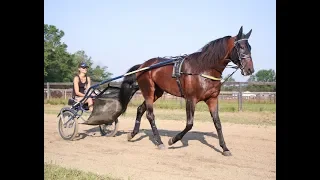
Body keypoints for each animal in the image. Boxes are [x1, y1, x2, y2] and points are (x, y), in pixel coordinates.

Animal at [119, 26, 254, 156]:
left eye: (250, 47)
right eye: (241, 47)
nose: (250, 69)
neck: (203, 69)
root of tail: (142, 66)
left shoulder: (212, 99)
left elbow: (217, 123)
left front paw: (225, 148)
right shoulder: (190, 99)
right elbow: (189, 124)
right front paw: (172, 140)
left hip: (157, 93)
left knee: (140, 109)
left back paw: (132, 134)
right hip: (148, 91)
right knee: (150, 115)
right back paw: (160, 142)